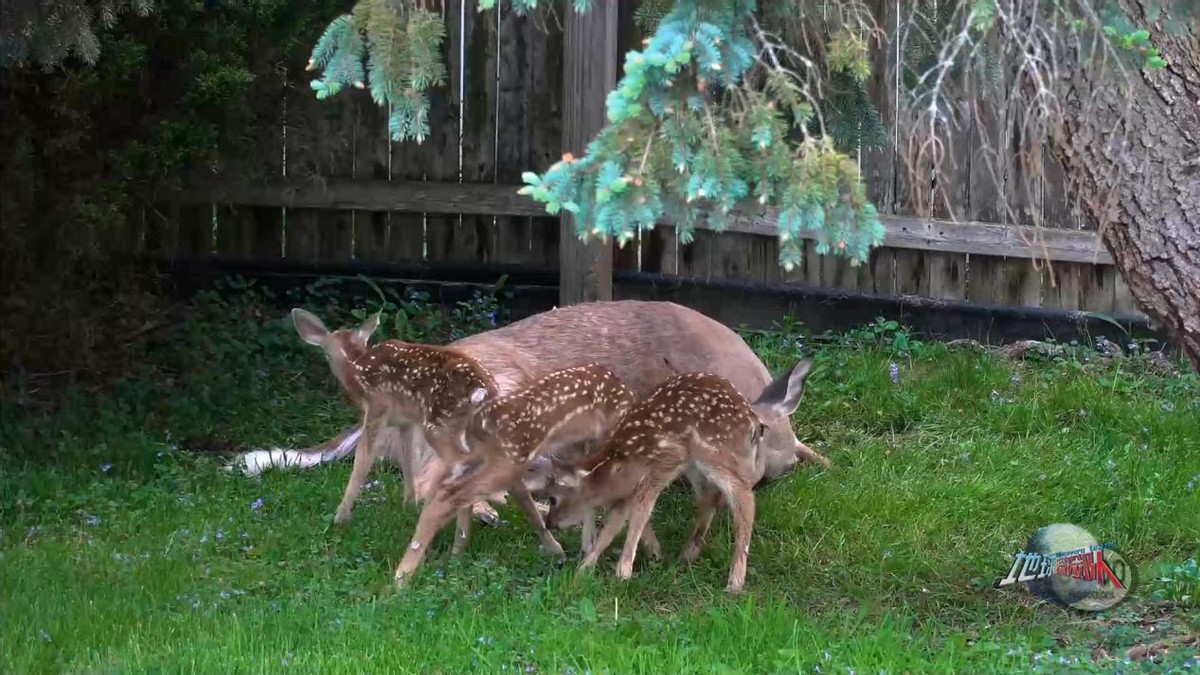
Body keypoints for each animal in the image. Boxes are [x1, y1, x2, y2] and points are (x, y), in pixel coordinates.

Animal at [544, 360, 816, 590]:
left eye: (553, 498)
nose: (550, 523)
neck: (617, 463)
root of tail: (752, 419)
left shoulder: (660, 467)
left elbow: (639, 514)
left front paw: (622, 573)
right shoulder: (625, 494)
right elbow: (613, 524)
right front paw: (584, 570)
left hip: (716, 455)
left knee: (744, 499)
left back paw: (734, 583)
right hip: (702, 465)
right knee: (711, 498)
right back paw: (687, 555)